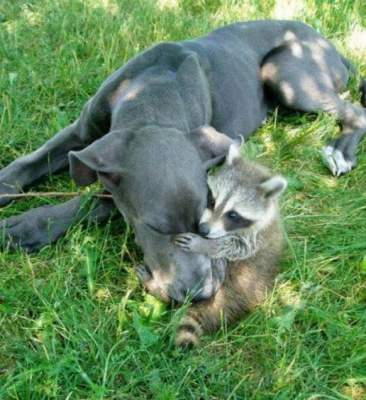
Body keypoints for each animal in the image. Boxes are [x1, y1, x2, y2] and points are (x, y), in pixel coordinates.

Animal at [0, 18, 366, 300]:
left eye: (201, 220)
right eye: (155, 227)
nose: (200, 294)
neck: (154, 95)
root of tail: (329, 44)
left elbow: (92, 201)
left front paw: (26, 226)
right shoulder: (82, 131)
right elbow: (32, 161)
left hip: (286, 74)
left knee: (355, 110)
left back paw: (340, 151)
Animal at [173, 143, 288, 346]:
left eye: (233, 214)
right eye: (212, 200)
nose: (203, 230)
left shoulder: (257, 238)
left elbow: (238, 248)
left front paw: (205, 245)